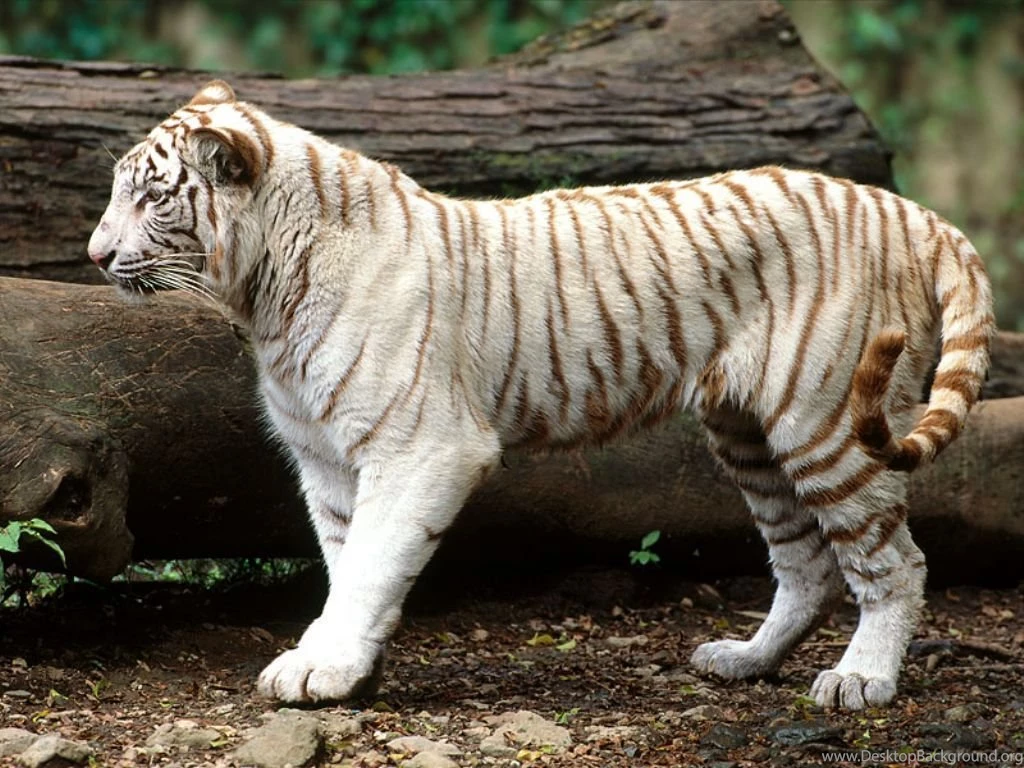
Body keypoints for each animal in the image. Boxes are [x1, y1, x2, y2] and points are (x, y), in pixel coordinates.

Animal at [88, 80, 993, 711]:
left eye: (153, 196)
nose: (95, 254)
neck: (265, 292)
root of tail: (911, 211)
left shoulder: (422, 446)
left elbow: (373, 561)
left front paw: (325, 667)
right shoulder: (327, 458)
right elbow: (348, 562)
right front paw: (345, 669)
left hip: (829, 420)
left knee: (892, 563)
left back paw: (860, 681)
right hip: (746, 432)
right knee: (805, 564)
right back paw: (743, 661)